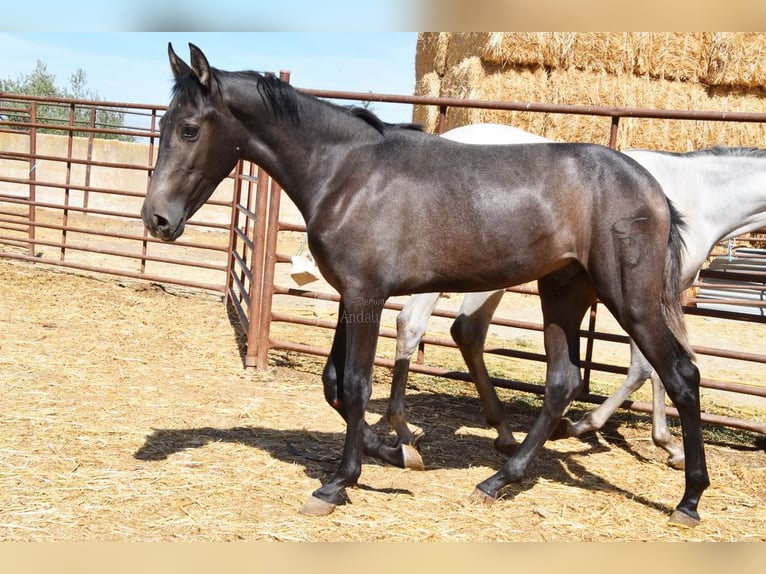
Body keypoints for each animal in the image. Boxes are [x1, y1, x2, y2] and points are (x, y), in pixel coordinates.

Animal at [142, 45, 708, 528]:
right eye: (165, 124)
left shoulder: (366, 295)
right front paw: (397, 451)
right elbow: (333, 384)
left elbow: (355, 385)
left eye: (189, 129)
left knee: (681, 375)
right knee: (562, 383)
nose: (157, 219)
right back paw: (498, 480)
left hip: (629, 298)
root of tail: (651, 186)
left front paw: (339, 484)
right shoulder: (351, 296)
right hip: (564, 293)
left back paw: (689, 499)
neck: (347, 173)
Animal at [390, 124, 766, 470]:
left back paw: (497, 433)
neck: (697, 196)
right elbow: (645, 369)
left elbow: (652, 369)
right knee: (425, 325)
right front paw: (593, 427)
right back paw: (412, 433)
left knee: (462, 332)